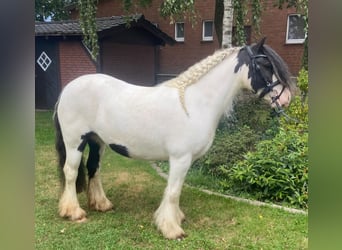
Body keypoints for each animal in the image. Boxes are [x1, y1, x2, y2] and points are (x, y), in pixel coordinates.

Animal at [54, 38, 292, 239]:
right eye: (265, 65)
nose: (287, 99)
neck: (194, 103)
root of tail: (68, 89)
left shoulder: (185, 160)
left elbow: (175, 189)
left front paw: (176, 218)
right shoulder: (180, 158)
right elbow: (173, 191)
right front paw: (171, 229)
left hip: (97, 141)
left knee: (94, 168)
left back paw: (102, 205)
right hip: (75, 142)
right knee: (71, 172)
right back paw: (73, 212)